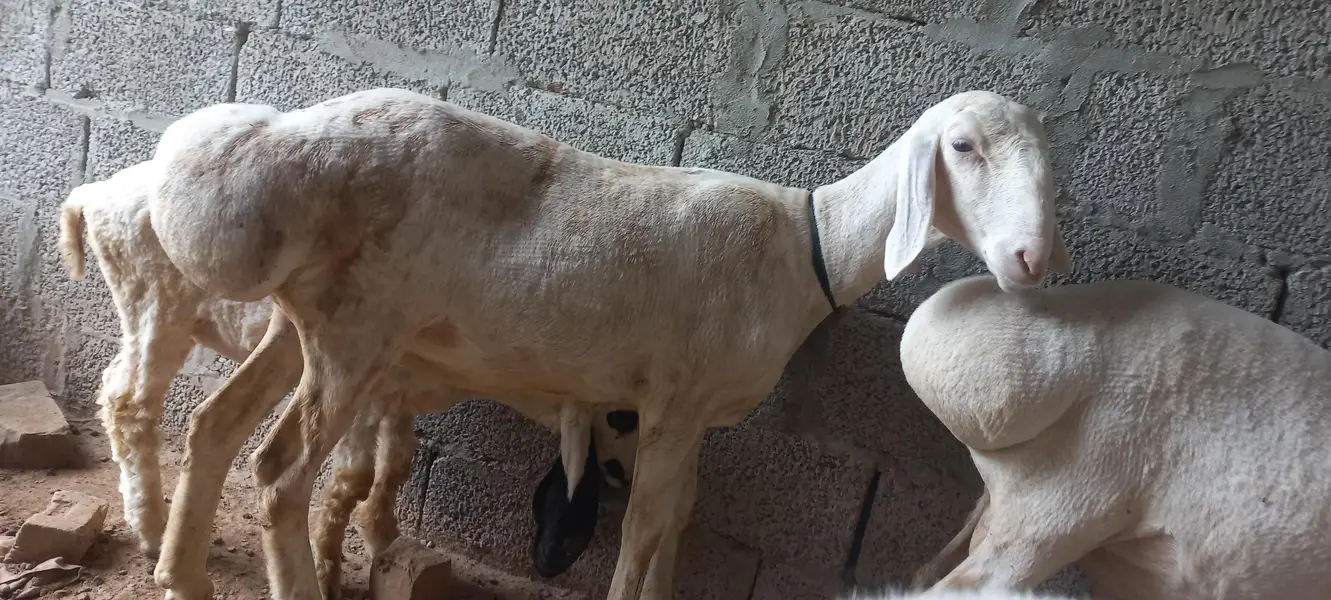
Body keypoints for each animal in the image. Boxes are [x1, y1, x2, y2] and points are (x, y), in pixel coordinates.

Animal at [56, 162, 639, 598]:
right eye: (621, 420)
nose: (627, 476)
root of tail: (93, 193)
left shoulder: (398, 397)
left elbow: (398, 464)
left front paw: (383, 539)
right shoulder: (366, 387)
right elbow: (354, 475)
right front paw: (329, 563)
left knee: (116, 386)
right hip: (158, 303)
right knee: (130, 402)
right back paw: (152, 530)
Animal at [142, 87, 1071, 600]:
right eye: (961, 147)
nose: (1030, 260)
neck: (805, 248)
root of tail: (287, 144)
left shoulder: (688, 418)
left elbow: (676, 523)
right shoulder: (673, 405)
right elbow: (642, 533)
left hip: (310, 321)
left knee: (215, 426)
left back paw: (182, 576)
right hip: (357, 330)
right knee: (278, 473)